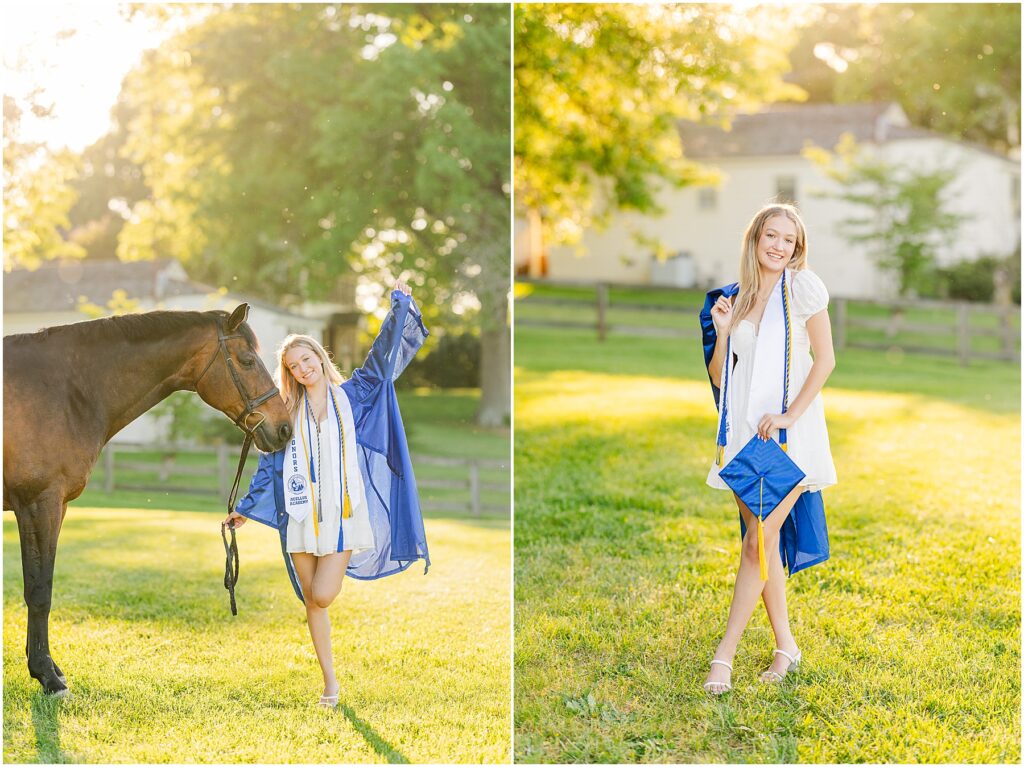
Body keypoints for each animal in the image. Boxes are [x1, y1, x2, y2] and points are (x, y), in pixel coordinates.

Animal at [4, 303, 292, 692]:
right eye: (247, 360)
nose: (284, 428)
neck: (66, 391)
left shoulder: (55, 506)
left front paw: (48, 668)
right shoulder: (39, 503)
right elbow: (39, 590)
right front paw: (48, 676)